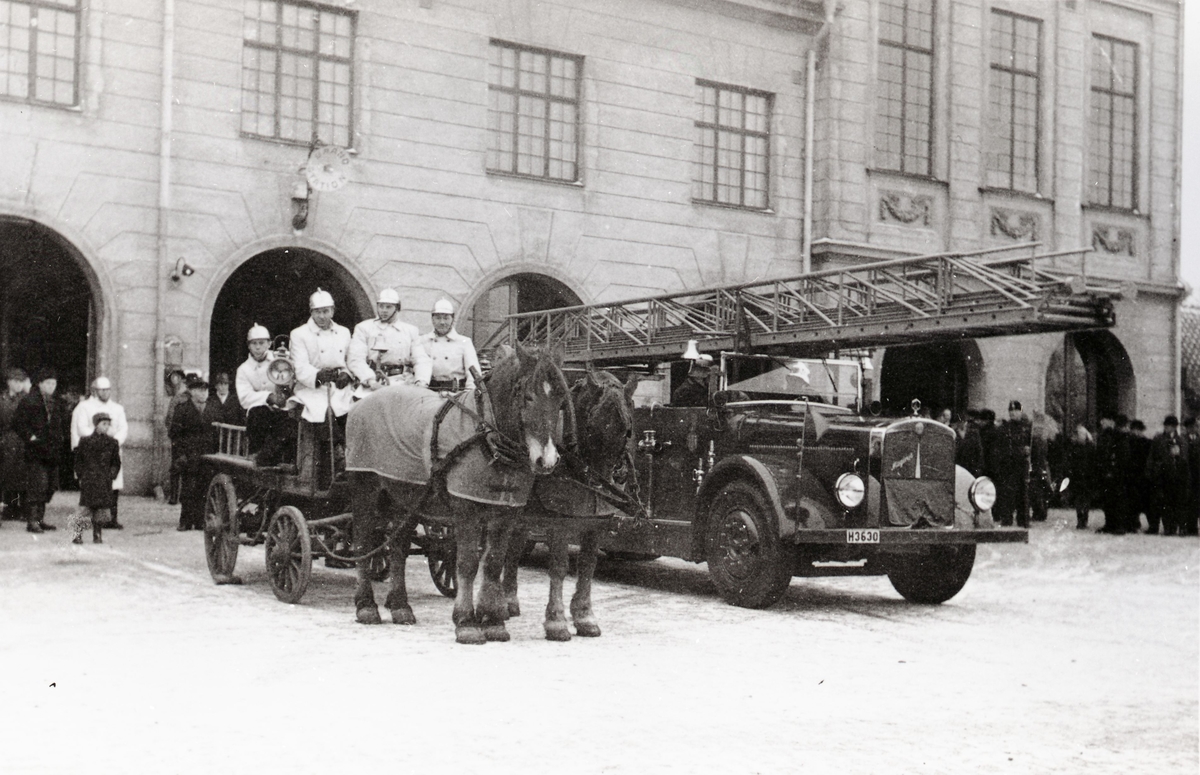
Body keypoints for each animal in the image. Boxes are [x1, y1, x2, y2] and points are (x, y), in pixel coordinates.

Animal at [348, 345, 571, 643]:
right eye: (528, 396)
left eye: (560, 399)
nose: (546, 460)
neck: (487, 434)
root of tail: (363, 402)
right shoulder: (467, 510)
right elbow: (466, 563)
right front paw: (466, 622)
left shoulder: (506, 513)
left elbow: (493, 563)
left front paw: (493, 622)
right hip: (366, 489)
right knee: (363, 542)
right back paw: (366, 606)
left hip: (406, 498)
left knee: (398, 548)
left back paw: (400, 606)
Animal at [504, 369, 638, 643]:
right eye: (593, 426)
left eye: (626, 431)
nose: (603, 484)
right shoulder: (560, 522)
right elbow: (559, 568)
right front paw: (556, 621)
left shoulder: (596, 524)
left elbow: (587, 566)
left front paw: (585, 616)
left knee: (512, 550)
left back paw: (509, 600)